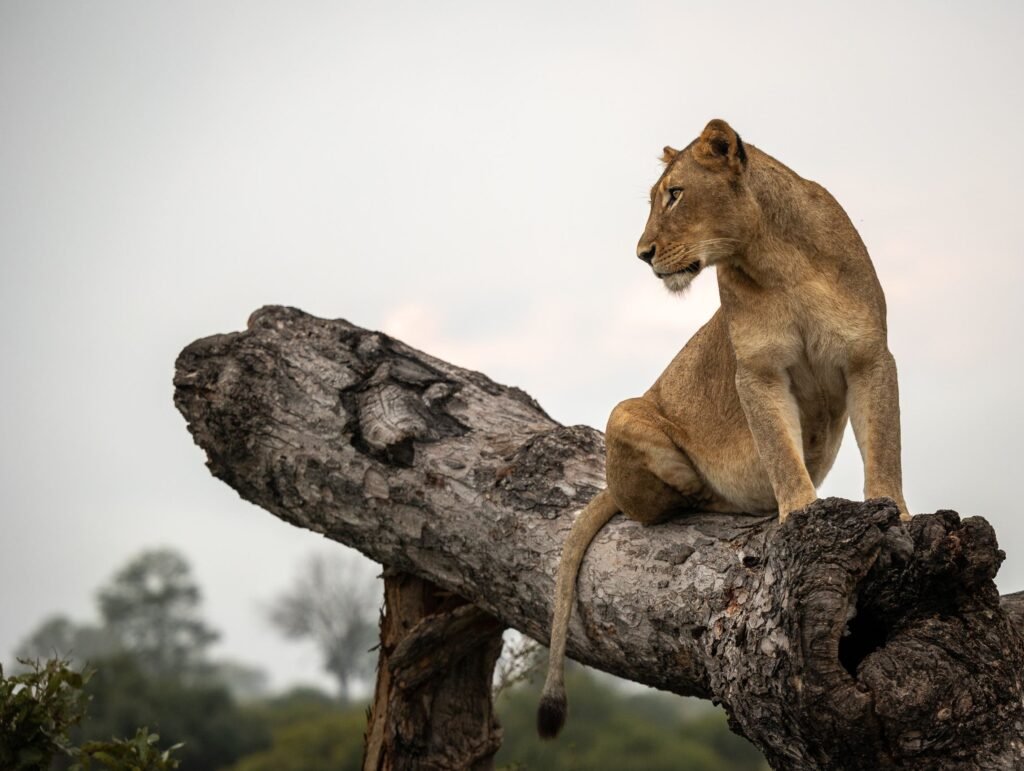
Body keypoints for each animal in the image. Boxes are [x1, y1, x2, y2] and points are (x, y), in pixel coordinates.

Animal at [537, 119, 910, 739]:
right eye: (657, 197)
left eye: (675, 194)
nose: (642, 254)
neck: (778, 259)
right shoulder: (757, 372)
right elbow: (781, 454)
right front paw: (799, 515)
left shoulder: (870, 358)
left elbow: (884, 448)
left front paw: (897, 514)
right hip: (626, 410)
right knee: (665, 500)